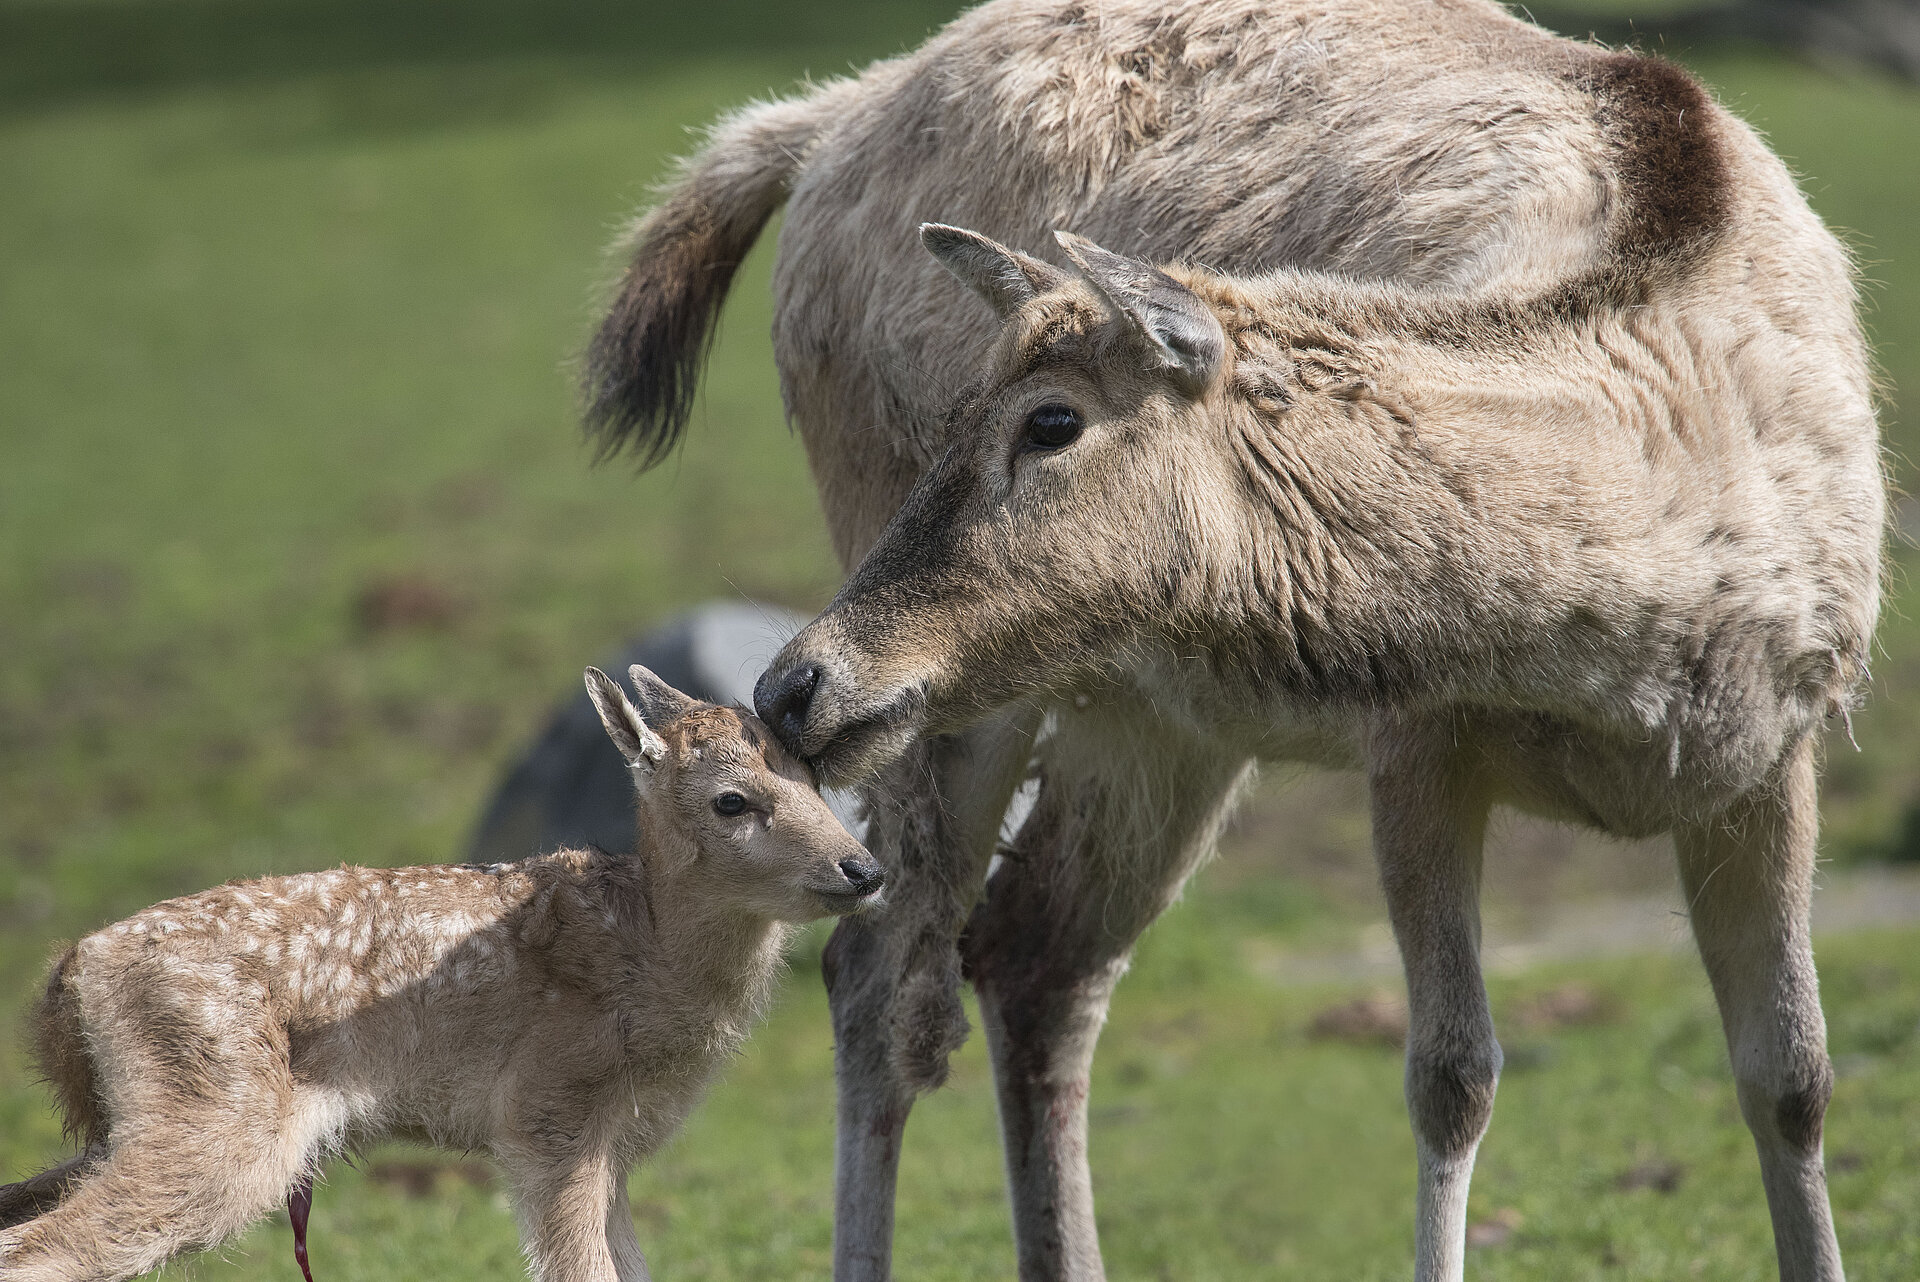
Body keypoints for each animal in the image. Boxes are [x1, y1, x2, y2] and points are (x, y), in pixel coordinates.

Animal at [0, 666, 885, 1282]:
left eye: (816, 777)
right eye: (731, 801)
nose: (865, 869)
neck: (648, 956)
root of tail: (69, 976)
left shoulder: (616, 1147)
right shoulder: (547, 1117)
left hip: (135, 1126)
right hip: (219, 1129)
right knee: (45, 1250)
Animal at [578, 2, 1883, 1279]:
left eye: (1050, 421)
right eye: (955, 418)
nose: (793, 684)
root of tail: (828, 112)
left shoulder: (1779, 743)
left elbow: (1794, 1075)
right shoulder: (1414, 736)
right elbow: (1452, 1074)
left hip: (1149, 718)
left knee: (1038, 952)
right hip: (955, 672)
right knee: (883, 968)